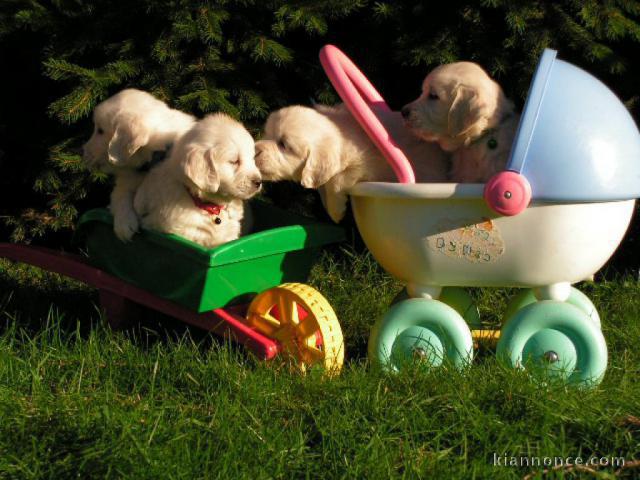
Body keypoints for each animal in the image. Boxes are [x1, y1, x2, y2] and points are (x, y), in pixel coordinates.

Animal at [252, 103, 448, 223]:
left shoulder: (366, 164)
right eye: (267, 133)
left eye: (284, 145)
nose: (254, 151)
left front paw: (336, 211)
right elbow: (323, 184)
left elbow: (337, 180)